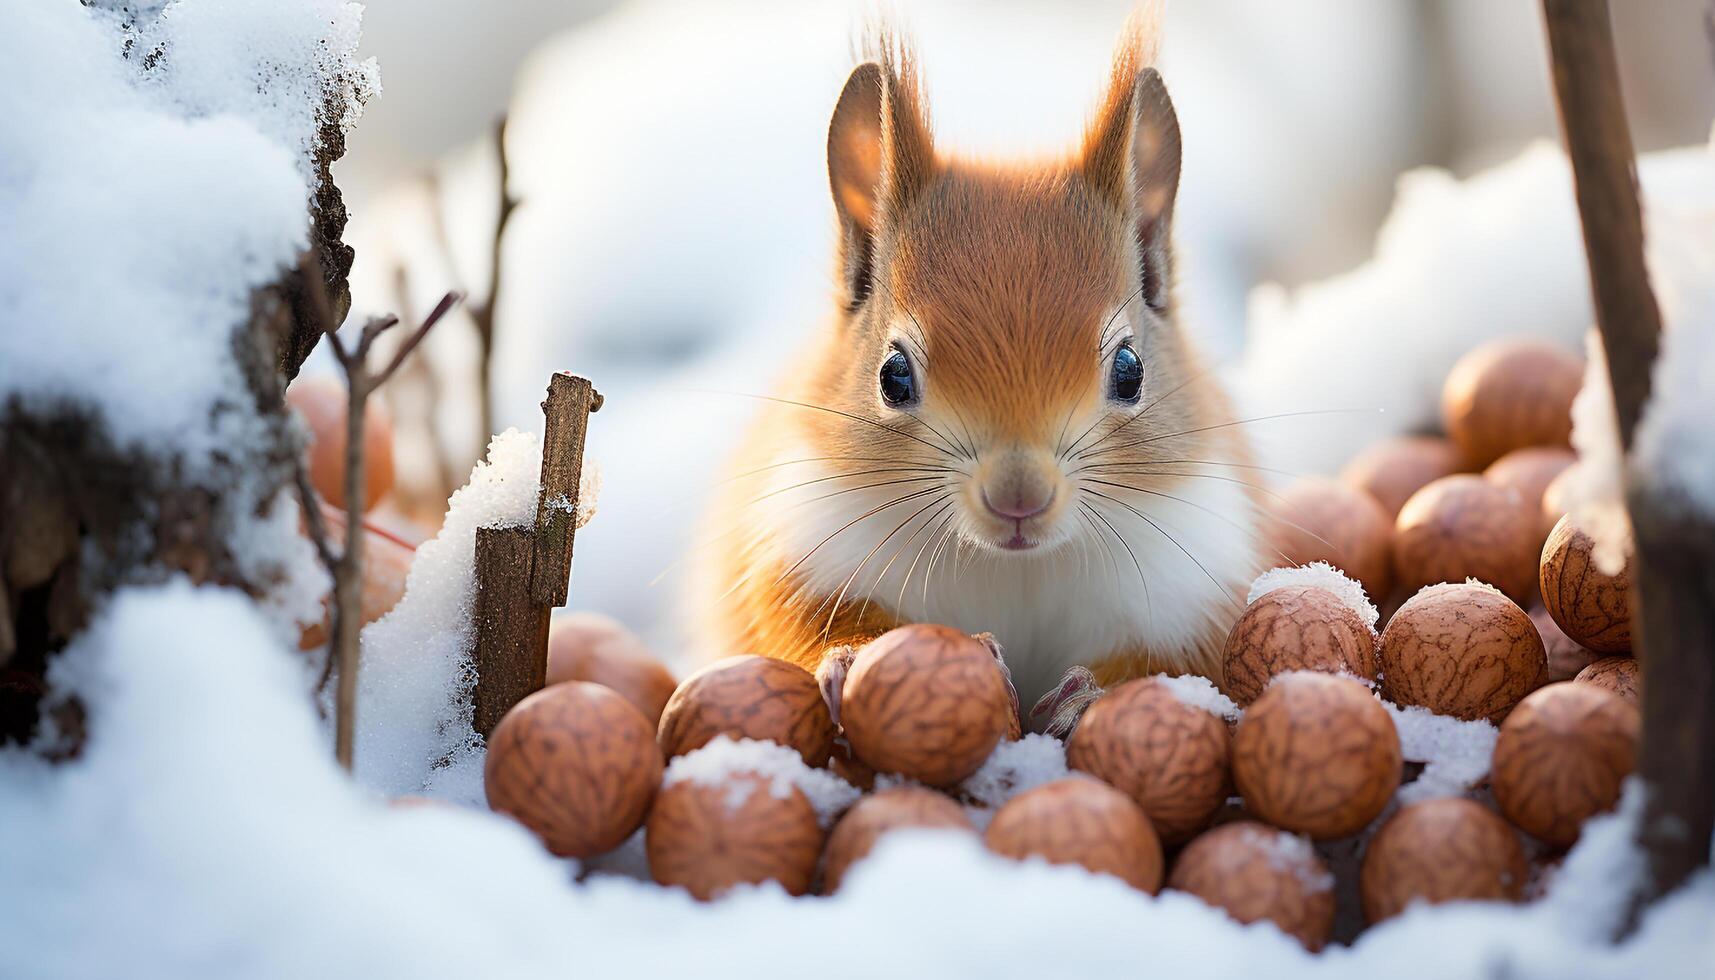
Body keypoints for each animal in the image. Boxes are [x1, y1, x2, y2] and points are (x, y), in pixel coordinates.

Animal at [689, 26, 1269, 710]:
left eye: (1130, 370)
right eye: (892, 374)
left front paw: (1086, 697)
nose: (1019, 498)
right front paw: (855, 657)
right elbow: (800, 622)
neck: (1014, 565)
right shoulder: (795, 542)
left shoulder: (1199, 589)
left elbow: (1181, 665)